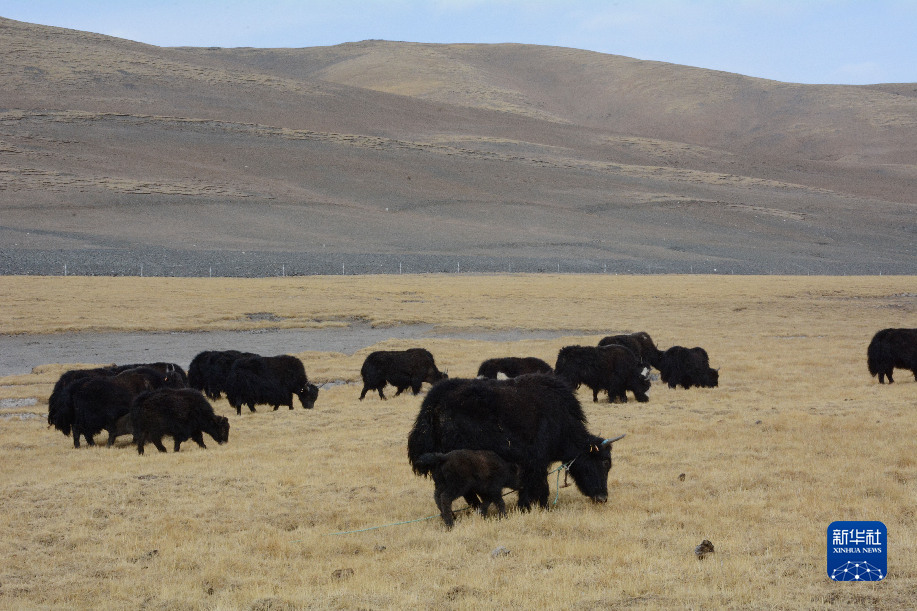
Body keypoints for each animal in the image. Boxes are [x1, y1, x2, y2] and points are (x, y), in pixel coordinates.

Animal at [407, 374, 625, 511]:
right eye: (604, 462)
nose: (603, 498)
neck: (561, 420)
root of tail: (432, 404)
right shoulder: (536, 460)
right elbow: (539, 485)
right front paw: (536, 507)